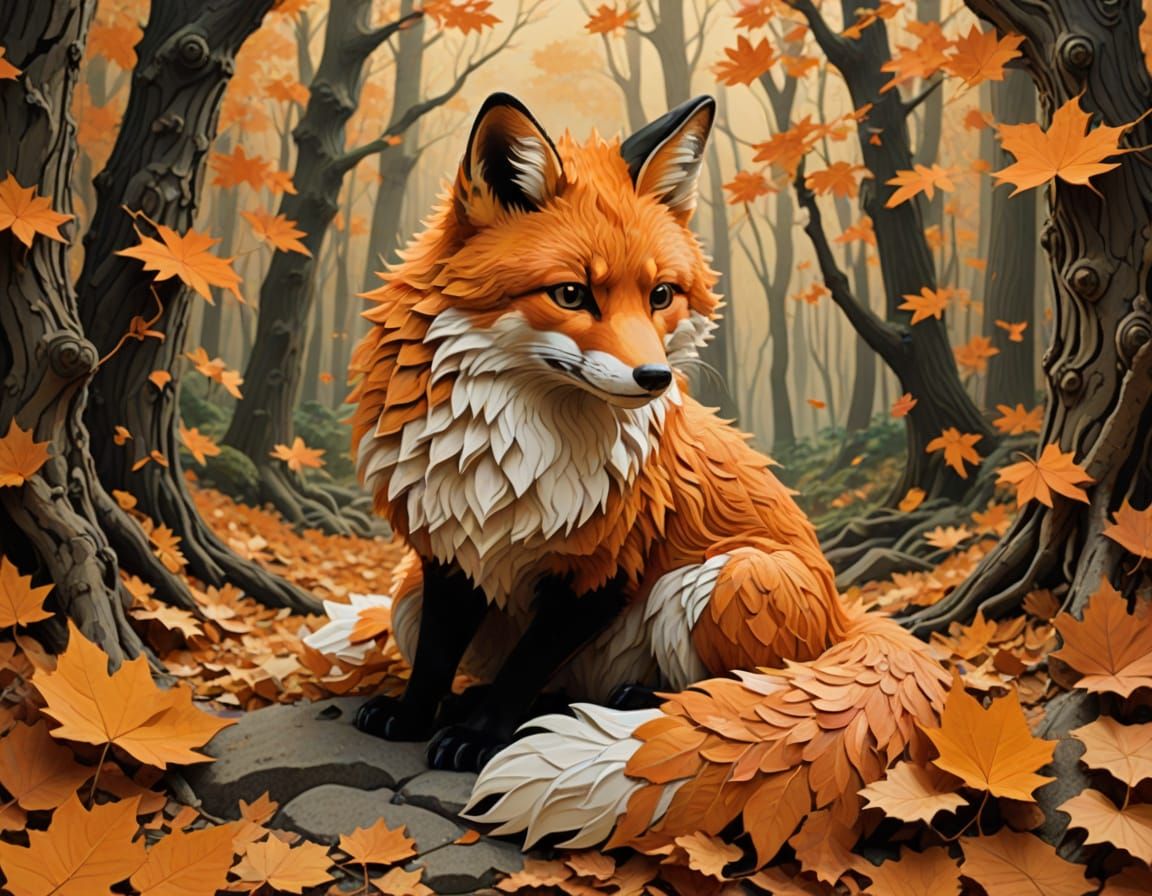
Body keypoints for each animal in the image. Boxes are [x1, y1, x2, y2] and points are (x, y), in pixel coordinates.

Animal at [345, 93, 948, 867]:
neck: (516, 457)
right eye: (572, 294)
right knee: (544, 678)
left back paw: (631, 703)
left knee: (731, 687)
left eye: (661, 295)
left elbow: (524, 667)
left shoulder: (608, 567)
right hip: (405, 596)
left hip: (733, 580)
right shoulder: (446, 549)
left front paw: (480, 737)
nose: (655, 377)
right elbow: (438, 655)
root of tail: (847, 614)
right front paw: (419, 713)